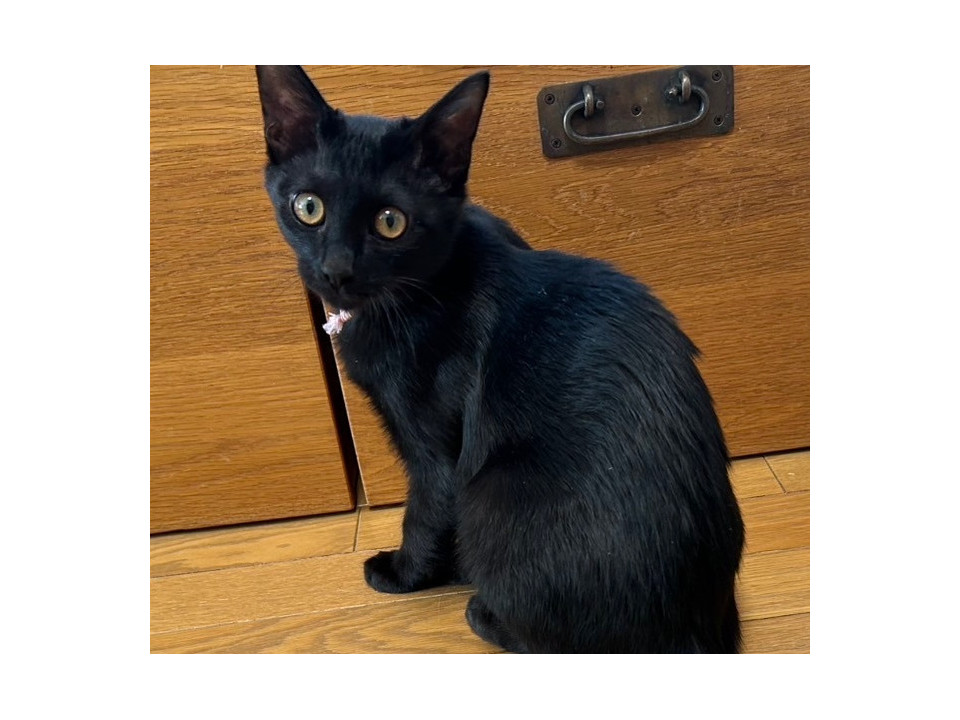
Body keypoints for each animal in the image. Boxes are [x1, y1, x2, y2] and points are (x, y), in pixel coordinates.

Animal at [256, 66, 745, 653]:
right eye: (308, 207)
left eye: (391, 222)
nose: (336, 270)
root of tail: (702, 631)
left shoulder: (437, 449)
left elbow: (425, 510)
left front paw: (402, 572)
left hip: (492, 496)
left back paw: (483, 613)